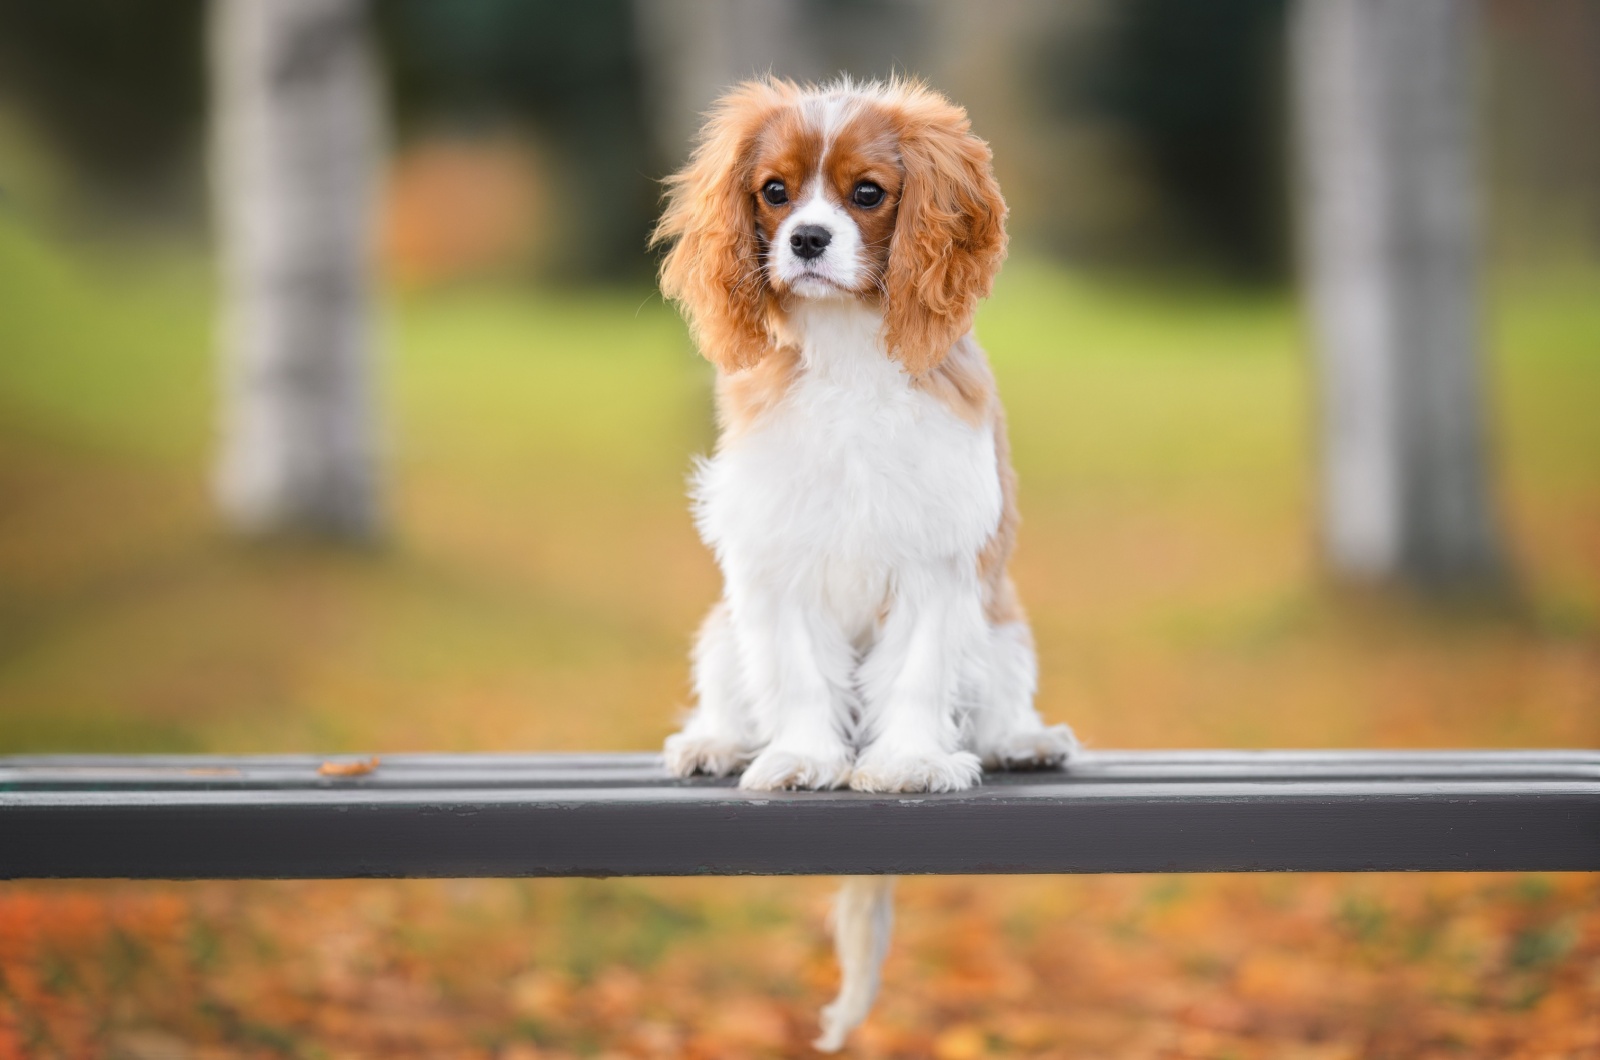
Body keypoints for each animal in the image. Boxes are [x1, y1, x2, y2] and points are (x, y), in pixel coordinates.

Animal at [646, 76, 1075, 1056]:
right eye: (774, 192)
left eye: (867, 194)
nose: (807, 239)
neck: (846, 356)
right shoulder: (777, 559)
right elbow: (801, 678)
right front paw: (804, 758)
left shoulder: (938, 562)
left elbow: (913, 675)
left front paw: (909, 762)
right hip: (721, 631)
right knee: (731, 691)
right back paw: (716, 742)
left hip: (1004, 631)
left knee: (997, 706)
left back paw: (1021, 740)